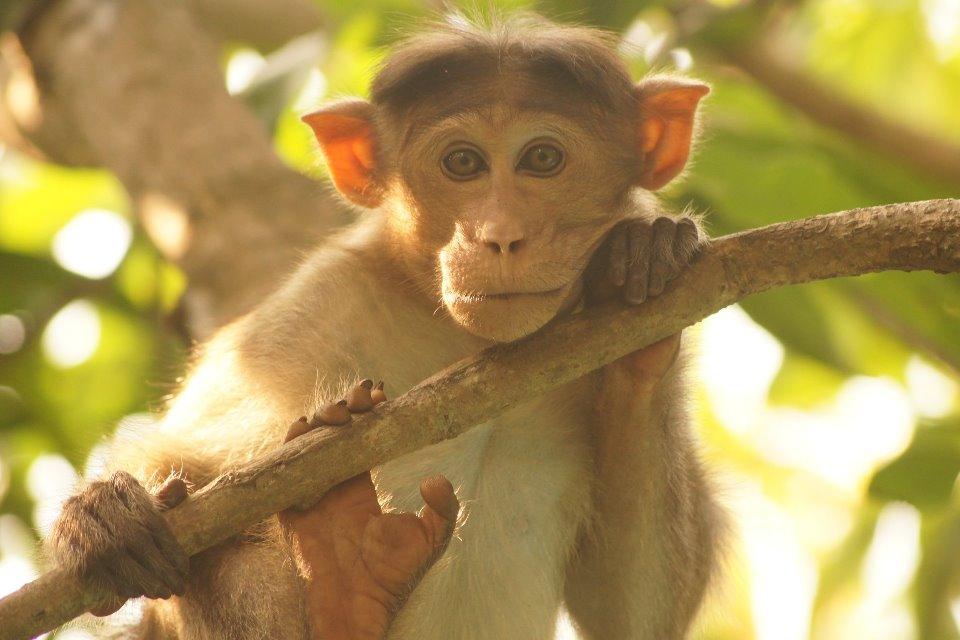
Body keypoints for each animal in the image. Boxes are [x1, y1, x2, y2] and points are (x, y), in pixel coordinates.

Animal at [48, 13, 723, 640]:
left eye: (543, 159)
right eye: (463, 162)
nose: (500, 237)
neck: (471, 342)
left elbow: (630, 615)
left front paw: (641, 263)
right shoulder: (316, 304)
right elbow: (189, 463)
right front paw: (100, 514)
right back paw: (342, 580)